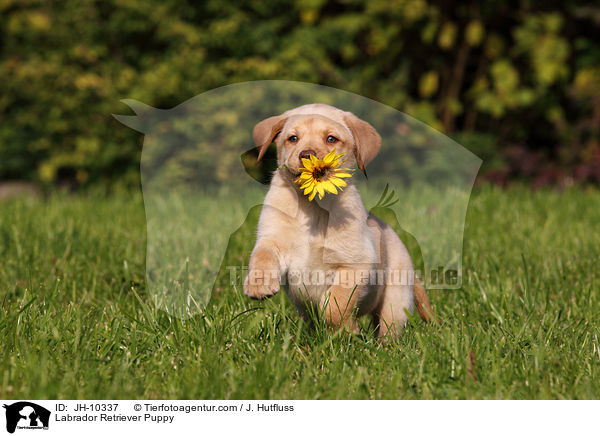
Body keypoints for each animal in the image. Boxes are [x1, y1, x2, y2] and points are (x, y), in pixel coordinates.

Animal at [244, 104, 436, 338]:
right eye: (293, 138)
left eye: (331, 139)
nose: (306, 155)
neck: (312, 206)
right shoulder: (271, 239)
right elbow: (261, 257)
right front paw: (258, 284)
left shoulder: (354, 263)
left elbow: (335, 303)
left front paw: (346, 330)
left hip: (394, 303)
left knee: (388, 330)